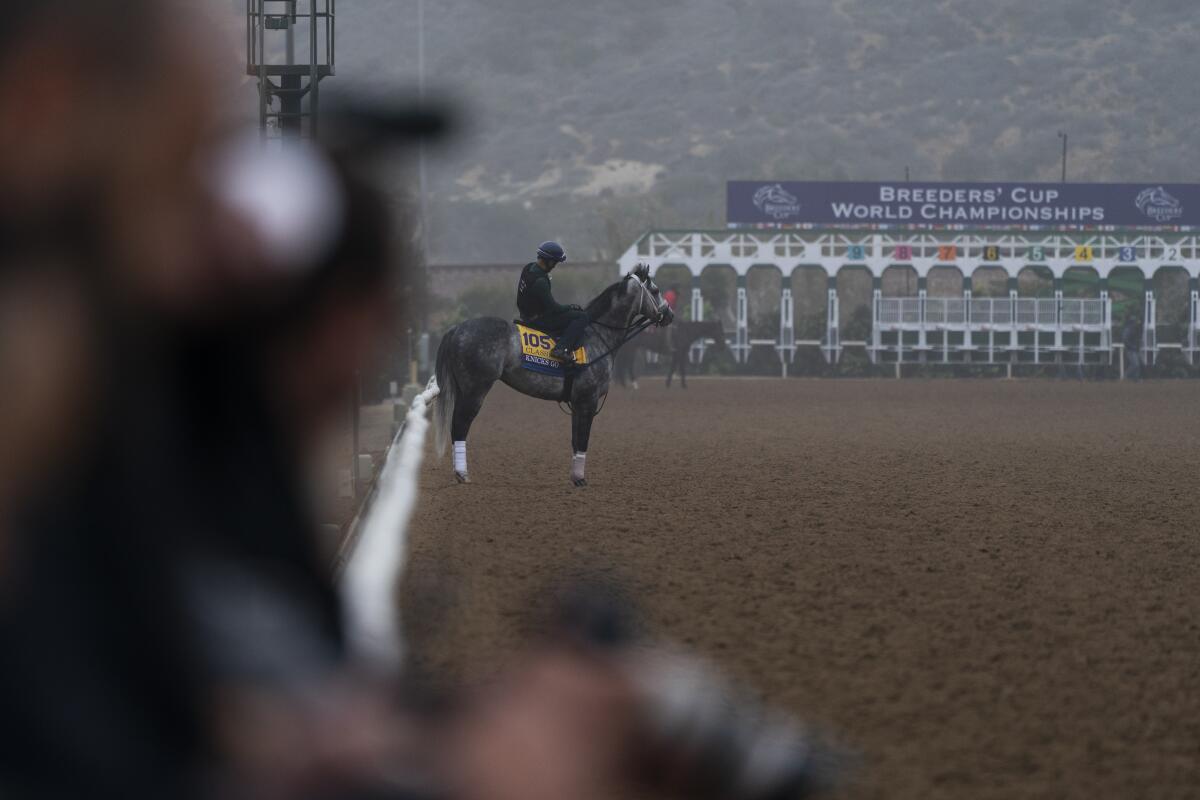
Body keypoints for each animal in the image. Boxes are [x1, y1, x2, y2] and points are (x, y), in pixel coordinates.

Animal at [434, 266, 676, 484]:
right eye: (655, 290)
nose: (670, 314)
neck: (596, 335)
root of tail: (456, 329)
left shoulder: (577, 403)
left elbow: (575, 440)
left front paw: (575, 477)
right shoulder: (587, 401)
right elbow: (583, 439)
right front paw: (580, 479)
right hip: (475, 391)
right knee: (460, 425)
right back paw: (462, 474)